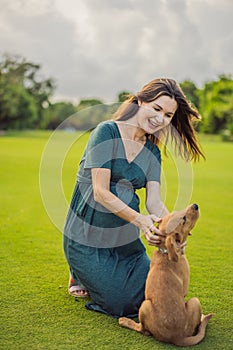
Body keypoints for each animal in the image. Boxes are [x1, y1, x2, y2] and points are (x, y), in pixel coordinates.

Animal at [119, 204, 212, 346]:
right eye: (183, 219)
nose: (195, 205)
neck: (165, 252)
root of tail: (177, 337)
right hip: (190, 301)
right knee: (143, 330)